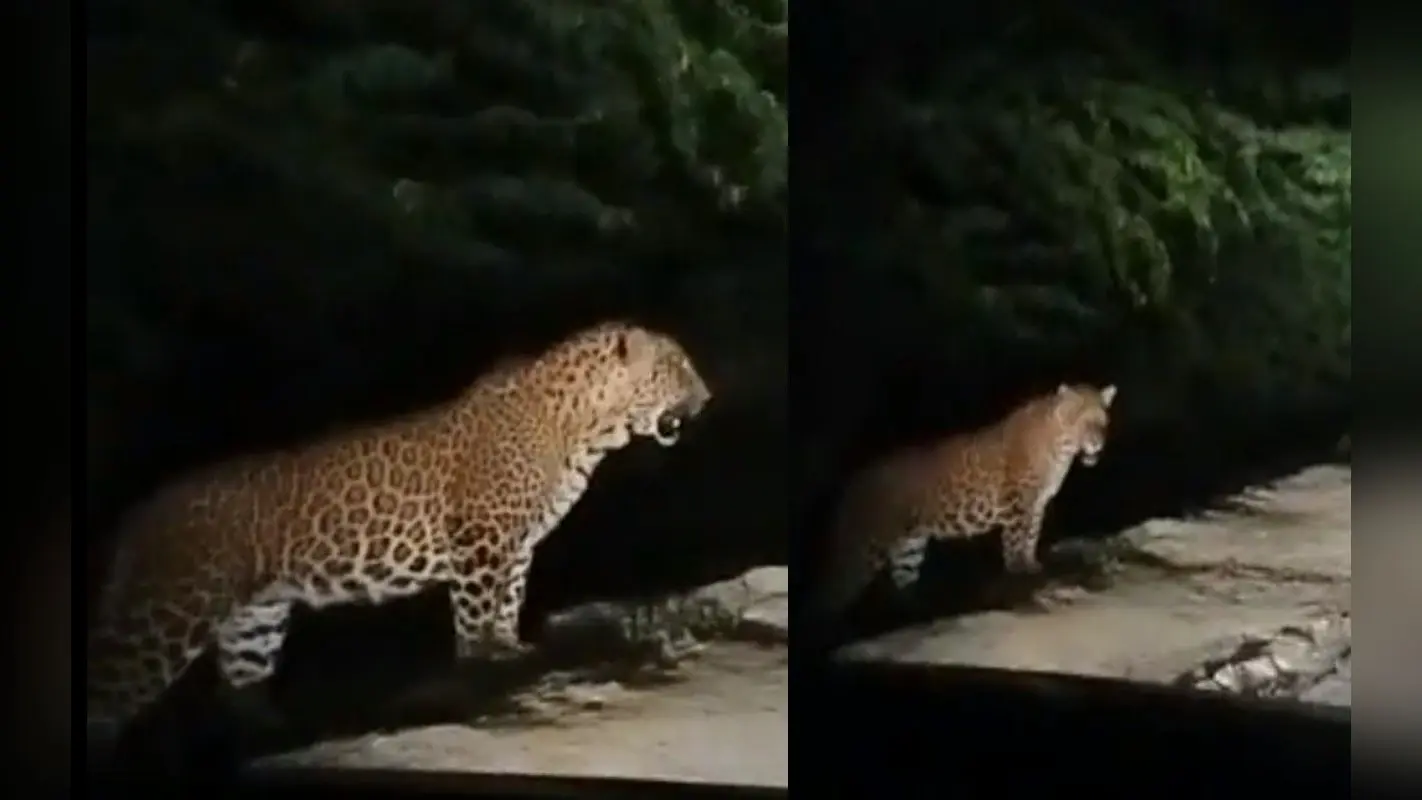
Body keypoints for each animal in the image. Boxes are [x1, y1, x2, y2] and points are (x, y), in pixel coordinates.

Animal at [86, 321, 712, 747]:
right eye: (677, 366)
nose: (708, 398)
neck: (587, 430)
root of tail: (139, 513)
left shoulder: (513, 547)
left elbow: (509, 603)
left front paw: (510, 653)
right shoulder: (481, 541)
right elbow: (477, 615)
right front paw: (482, 673)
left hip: (253, 620)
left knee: (239, 691)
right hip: (173, 609)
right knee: (110, 686)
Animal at [812, 383, 1117, 623]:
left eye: (1102, 422)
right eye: (1082, 420)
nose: (1097, 445)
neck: (1061, 448)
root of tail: (849, 486)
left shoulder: (1036, 504)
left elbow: (1032, 535)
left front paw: (1031, 564)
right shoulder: (1016, 504)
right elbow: (1016, 540)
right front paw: (1018, 570)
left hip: (909, 545)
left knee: (901, 583)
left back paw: (917, 614)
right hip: (866, 548)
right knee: (833, 593)